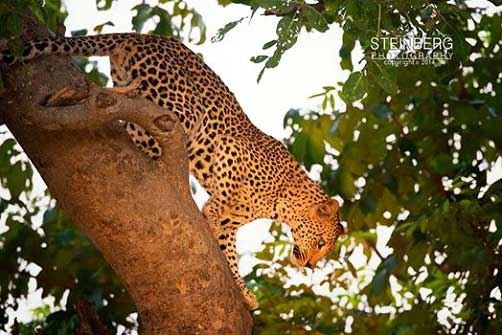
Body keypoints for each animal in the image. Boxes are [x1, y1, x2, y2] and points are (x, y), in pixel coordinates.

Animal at [0, 32, 346, 312]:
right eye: (320, 243)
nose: (311, 265)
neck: (283, 203)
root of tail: (145, 36)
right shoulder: (231, 148)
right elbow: (223, 196)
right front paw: (214, 209)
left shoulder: (231, 225)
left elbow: (229, 252)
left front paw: (244, 293)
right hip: (182, 108)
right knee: (131, 118)